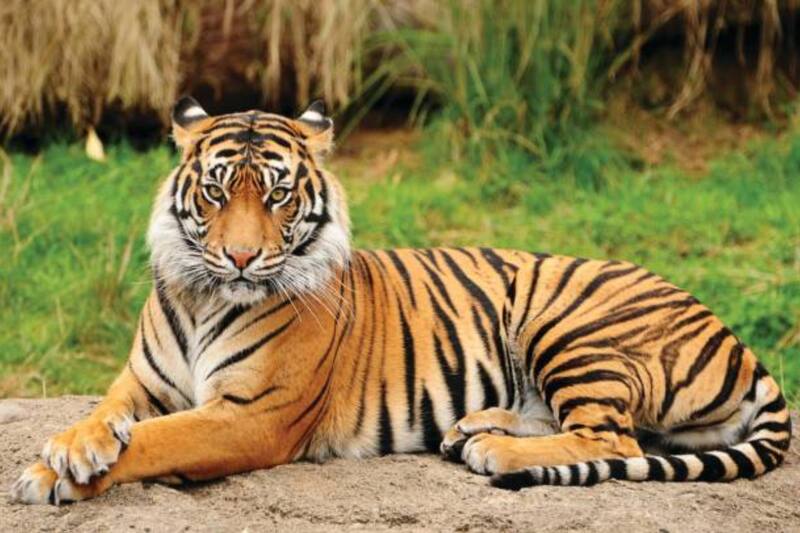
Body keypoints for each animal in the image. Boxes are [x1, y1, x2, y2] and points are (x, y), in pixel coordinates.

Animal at [11, 97, 791, 504]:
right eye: (215, 191)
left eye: (278, 195)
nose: (240, 257)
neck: (206, 297)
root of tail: (737, 340)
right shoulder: (141, 382)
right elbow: (106, 415)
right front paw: (71, 447)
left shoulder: (252, 415)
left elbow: (159, 439)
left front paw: (51, 475)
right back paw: (474, 428)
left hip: (567, 321)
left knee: (614, 437)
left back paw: (495, 452)